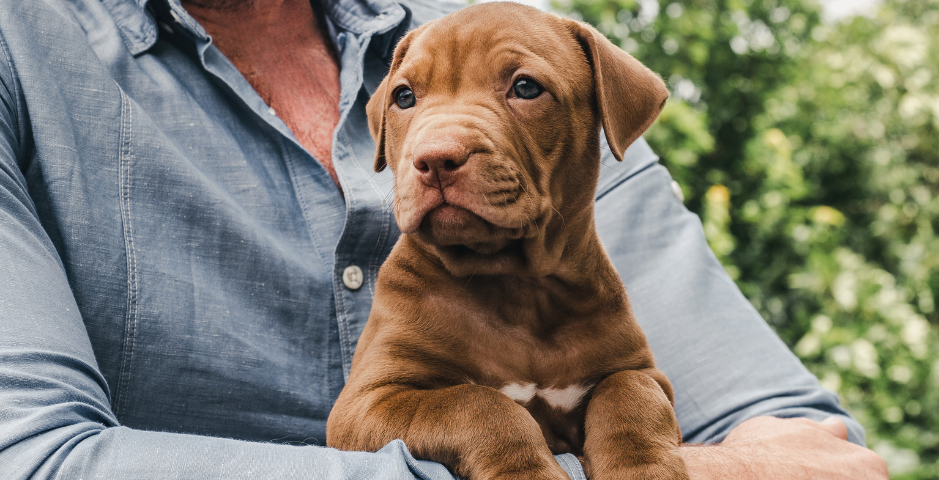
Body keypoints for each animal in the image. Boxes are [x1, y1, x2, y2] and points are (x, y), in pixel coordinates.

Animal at [326, 3, 688, 480]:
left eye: (526, 88)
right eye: (403, 97)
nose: (435, 158)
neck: (517, 284)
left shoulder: (642, 371)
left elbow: (631, 393)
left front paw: (642, 466)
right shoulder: (367, 401)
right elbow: (476, 403)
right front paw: (526, 470)